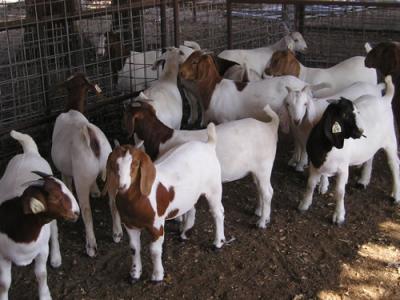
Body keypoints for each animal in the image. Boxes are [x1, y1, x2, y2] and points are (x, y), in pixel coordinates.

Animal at [0, 131, 79, 300]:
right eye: (55, 197)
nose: (76, 212)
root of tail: (29, 152)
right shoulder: (2, 255)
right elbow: (4, 284)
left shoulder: (42, 249)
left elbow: (41, 274)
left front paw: (45, 296)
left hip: (52, 225)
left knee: (54, 233)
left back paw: (56, 258)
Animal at [50, 73, 119, 258]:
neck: (72, 109)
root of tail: (91, 135)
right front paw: (95, 191)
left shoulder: (65, 171)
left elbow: (67, 187)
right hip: (111, 173)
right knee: (113, 202)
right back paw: (117, 234)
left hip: (81, 176)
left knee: (87, 212)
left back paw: (91, 246)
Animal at [298, 76, 398, 224]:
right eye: (345, 114)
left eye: (357, 112)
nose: (361, 131)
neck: (327, 148)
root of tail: (385, 99)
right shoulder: (315, 164)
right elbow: (310, 184)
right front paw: (304, 204)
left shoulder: (343, 169)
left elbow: (339, 192)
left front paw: (339, 216)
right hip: (371, 146)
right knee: (370, 158)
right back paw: (363, 181)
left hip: (390, 140)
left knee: (394, 165)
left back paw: (395, 195)